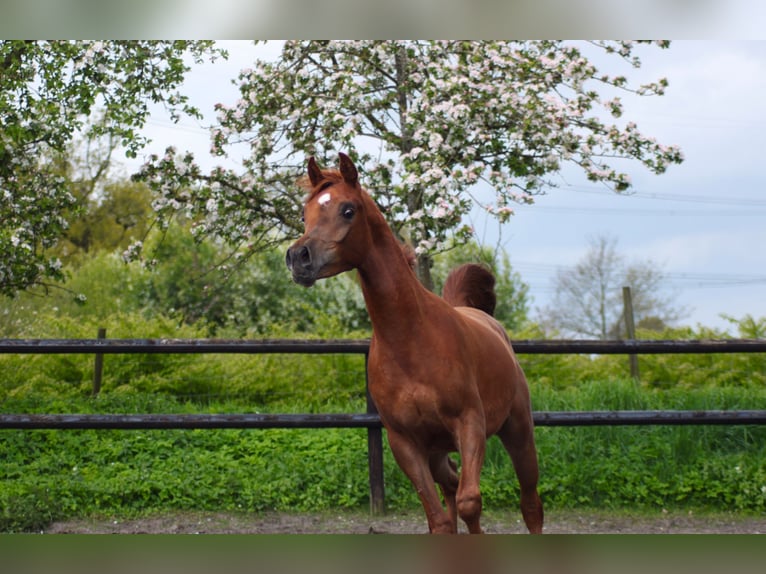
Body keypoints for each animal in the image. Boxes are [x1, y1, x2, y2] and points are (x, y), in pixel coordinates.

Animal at [284, 153, 544, 536]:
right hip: (437, 450)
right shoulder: (404, 442)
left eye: (348, 210)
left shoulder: (470, 424)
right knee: (450, 485)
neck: (411, 341)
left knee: (529, 504)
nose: (298, 257)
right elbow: (439, 520)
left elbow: (470, 502)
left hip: (519, 431)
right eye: (306, 214)